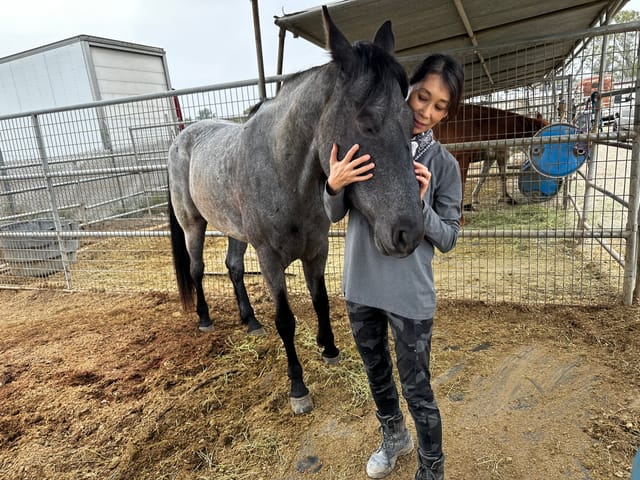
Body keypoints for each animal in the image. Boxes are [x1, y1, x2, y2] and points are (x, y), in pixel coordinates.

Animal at [167, 6, 424, 415]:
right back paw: (205, 319)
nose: (408, 232)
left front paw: (330, 349)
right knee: (197, 269)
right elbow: (286, 320)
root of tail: (182, 137)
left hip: (234, 231)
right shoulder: (270, 260)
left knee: (233, 267)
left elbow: (321, 300)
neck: (282, 171)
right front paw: (298, 388)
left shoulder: (317, 249)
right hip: (194, 224)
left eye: (410, 121)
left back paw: (250, 321)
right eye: (366, 123)